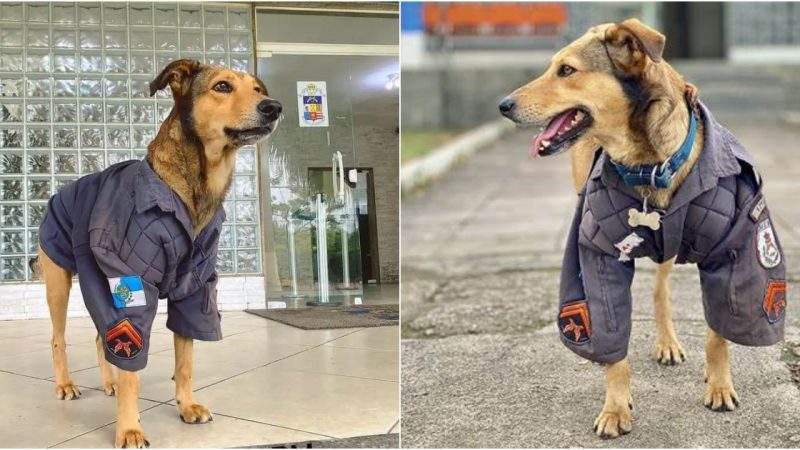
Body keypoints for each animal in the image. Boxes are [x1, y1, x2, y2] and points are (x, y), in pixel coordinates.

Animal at [31, 59, 282, 446]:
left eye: (257, 89)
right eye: (222, 87)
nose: (274, 107)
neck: (191, 189)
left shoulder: (196, 288)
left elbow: (185, 360)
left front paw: (186, 405)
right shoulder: (133, 283)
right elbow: (133, 365)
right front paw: (129, 428)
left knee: (100, 337)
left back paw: (108, 383)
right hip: (59, 282)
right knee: (58, 339)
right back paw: (66, 384)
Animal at [500, 19, 788, 438]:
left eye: (566, 70)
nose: (503, 106)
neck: (650, 164)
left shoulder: (737, 248)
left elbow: (719, 332)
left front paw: (719, 386)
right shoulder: (597, 253)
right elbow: (609, 331)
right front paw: (616, 408)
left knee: (661, 291)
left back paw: (669, 344)